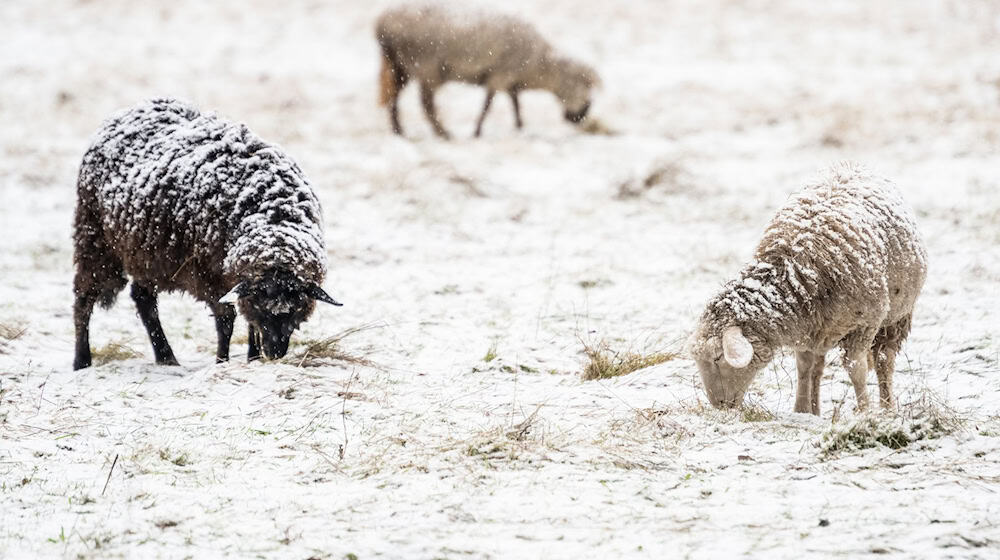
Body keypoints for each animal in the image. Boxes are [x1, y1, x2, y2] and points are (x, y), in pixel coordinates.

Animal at [72, 98, 341, 370]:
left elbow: (247, 323)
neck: (272, 214)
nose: (275, 352)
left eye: (296, 307)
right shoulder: (209, 274)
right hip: (94, 237)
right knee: (84, 298)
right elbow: (227, 320)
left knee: (143, 299)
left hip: (144, 253)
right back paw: (82, 360)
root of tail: (130, 110)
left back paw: (166, 357)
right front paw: (222, 361)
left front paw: (253, 358)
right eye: (260, 305)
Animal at [375, 3, 599, 139]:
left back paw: (398, 131)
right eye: (584, 86)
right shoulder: (500, 76)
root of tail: (382, 24)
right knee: (426, 104)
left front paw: (519, 126)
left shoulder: (509, 79)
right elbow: (488, 106)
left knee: (394, 98)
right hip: (426, 67)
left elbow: (515, 103)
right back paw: (443, 134)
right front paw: (477, 132)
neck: (538, 66)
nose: (580, 117)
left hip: (401, 67)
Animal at [687, 162, 927, 415]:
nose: (719, 405)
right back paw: (816, 408)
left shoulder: (864, 324)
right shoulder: (806, 327)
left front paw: (865, 412)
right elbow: (804, 367)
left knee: (883, 361)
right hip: (824, 328)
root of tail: (852, 165)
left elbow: (856, 369)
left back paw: (887, 407)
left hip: (895, 318)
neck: (795, 271)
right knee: (818, 367)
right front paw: (802, 410)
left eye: (717, 357)